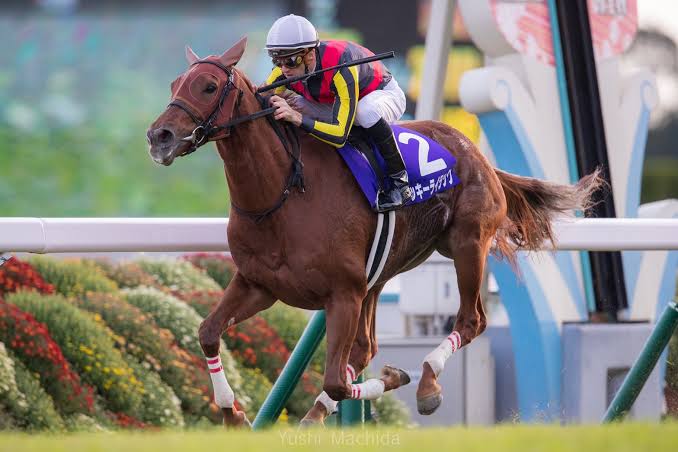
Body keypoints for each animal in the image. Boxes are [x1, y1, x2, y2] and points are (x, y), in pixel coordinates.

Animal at [146, 37, 601, 427]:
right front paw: (232, 414)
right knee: (367, 346)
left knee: (471, 321)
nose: (159, 137)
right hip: (380, 274)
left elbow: (337, 380)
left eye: (208, 86)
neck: (282, 195)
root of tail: (477, 153)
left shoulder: (343, 293)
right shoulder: (259, 285)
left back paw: (427, 382)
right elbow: (208, 333)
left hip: (467, 244)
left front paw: (398, 378)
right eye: (173, 84)